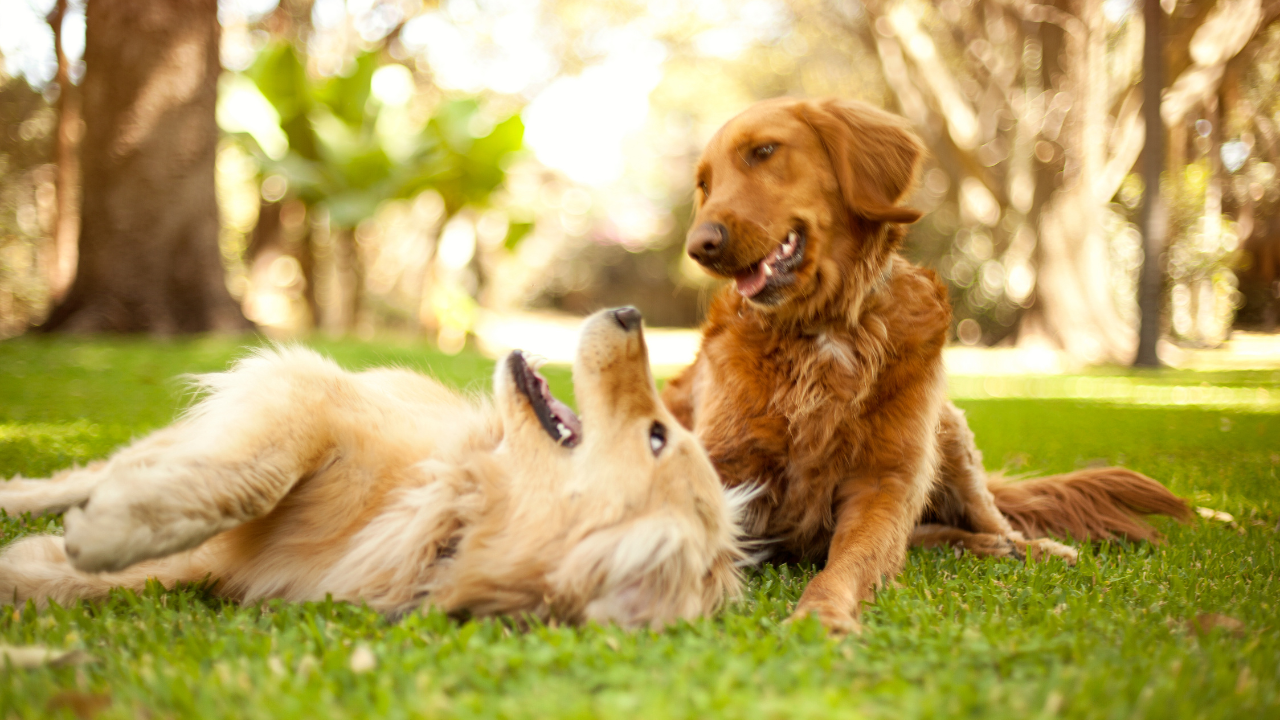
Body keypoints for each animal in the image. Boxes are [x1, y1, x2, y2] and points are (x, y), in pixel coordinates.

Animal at [0, 304, 747, 625]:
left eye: (658, 436)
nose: (630, 311)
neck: (452, 509)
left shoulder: (226, 565)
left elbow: (92, 578)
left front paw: (51, 562)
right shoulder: (308, 395)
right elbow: (252, 478)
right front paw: (109, 531)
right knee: (91, 473)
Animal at [660, 98, 1187, 630]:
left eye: (764, 151)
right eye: (704, 185)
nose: (699, 246)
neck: (824, 329)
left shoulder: (885, 481)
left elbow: (849, 563)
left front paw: (820, 615)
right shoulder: (723, 466)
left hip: (949, 435)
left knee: (990, 520)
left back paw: (1029, 547)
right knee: (928, 536)